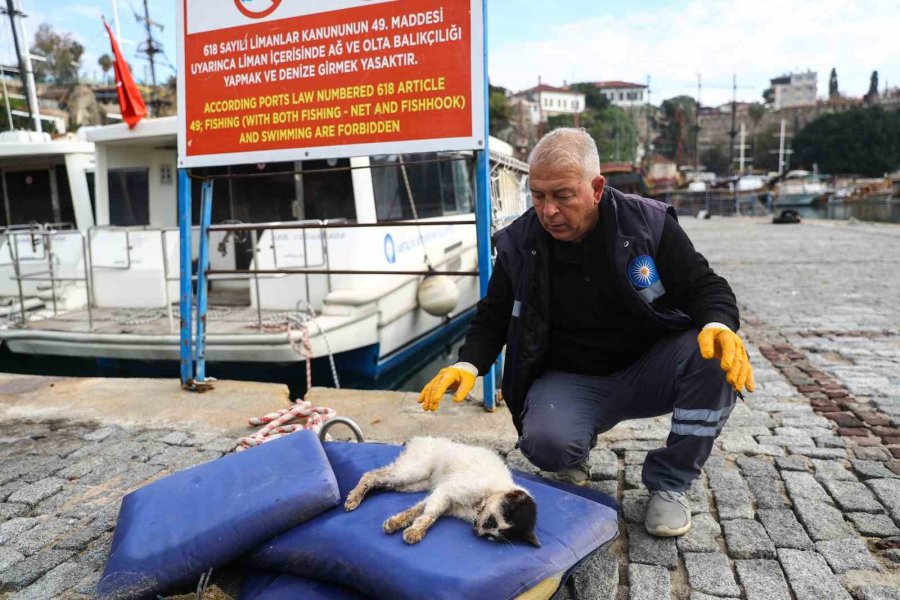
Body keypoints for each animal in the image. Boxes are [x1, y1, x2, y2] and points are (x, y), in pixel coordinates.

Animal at [344, 438, 540, 548]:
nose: (476, 531)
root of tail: (421, 439)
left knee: (380, 479)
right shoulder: (447, 491)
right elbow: (430, 516)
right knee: (371, 474)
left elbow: (418, 512)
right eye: (491, 521)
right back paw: (353, 499)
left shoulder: (443, 498)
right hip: (414, 472)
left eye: (491, 538)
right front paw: (415, 532)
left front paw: (397, 523)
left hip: (412, 484)